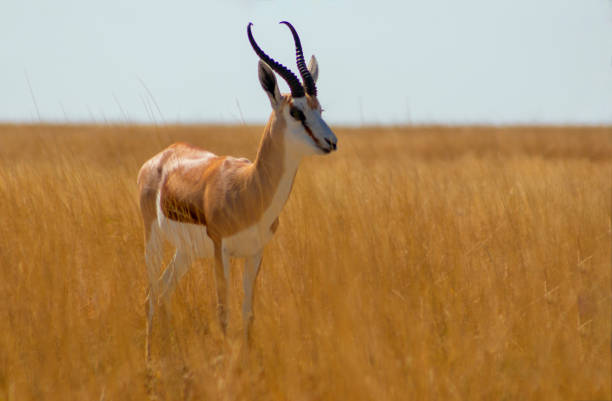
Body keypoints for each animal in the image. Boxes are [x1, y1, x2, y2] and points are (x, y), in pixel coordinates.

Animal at [138, 21, 338, 356]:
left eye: (319, 109)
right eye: (296, 112)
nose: (331, 142)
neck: (249, 189)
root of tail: (161, 157)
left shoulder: (254, 253)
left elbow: (247, 313)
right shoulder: (222, 251)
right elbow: (223, 313)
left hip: (186, 253)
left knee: (163, 291)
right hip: (154, 240)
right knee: (150, 295)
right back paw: (150, 360)